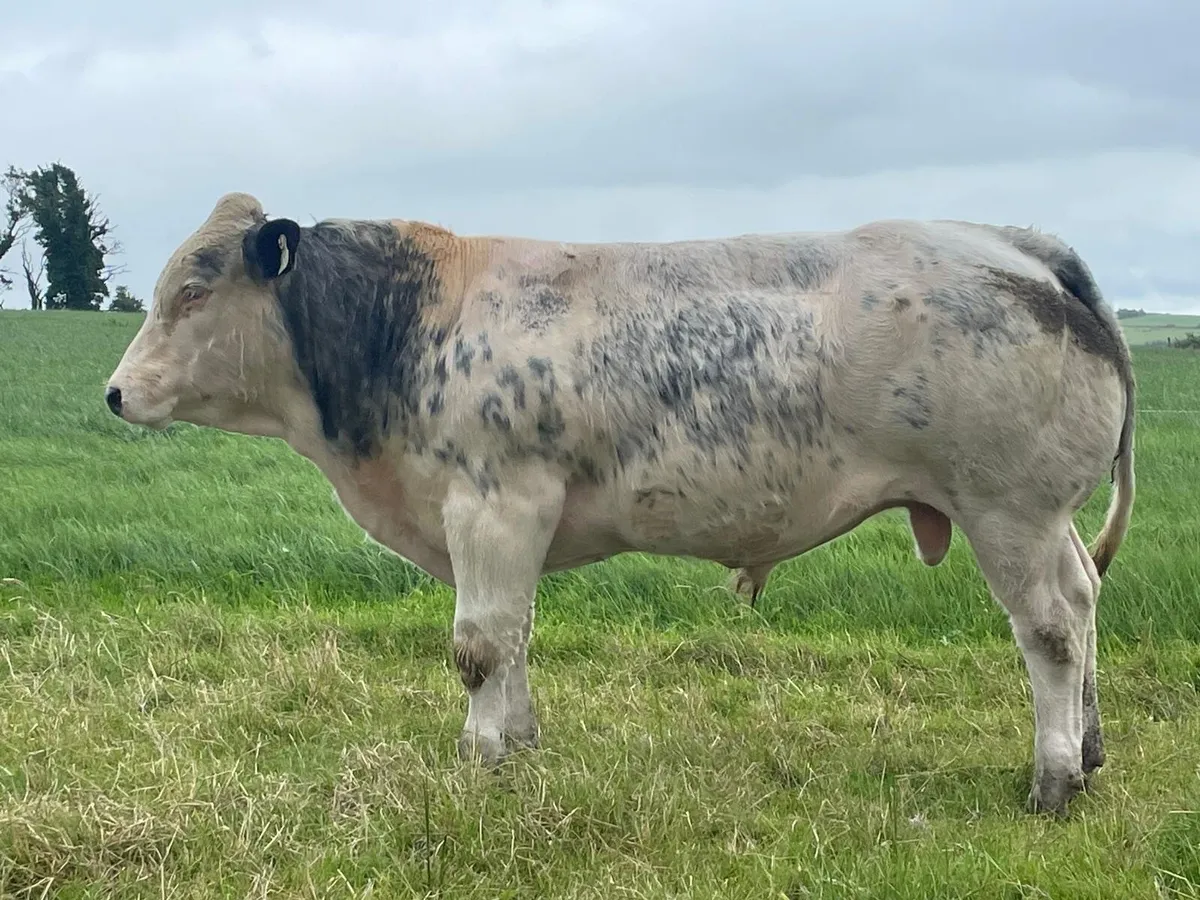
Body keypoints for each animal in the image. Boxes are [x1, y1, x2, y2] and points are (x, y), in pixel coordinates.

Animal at [104, 192, 1135, 816]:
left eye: (192, 291)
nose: (115, 394)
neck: (410, 327)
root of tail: (1020, 246)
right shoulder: (507, 527)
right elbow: (515, 635)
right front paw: (519, 746)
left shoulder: (493, 503)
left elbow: (479, 645)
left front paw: (479, 758)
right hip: (1047, 519)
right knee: (1085, 601)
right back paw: (1088, 751)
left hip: (1007, 509)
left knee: (1050, 630)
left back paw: (1051, 776)